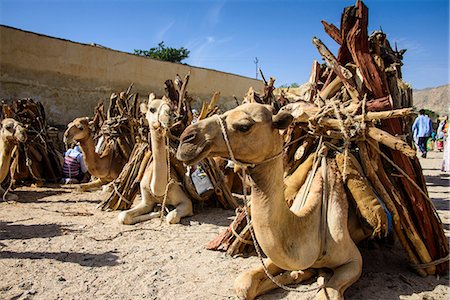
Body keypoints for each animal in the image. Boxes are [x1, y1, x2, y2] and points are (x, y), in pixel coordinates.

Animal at [117, 94, 192, 225]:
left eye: (171, 108)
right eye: (152, 109)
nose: (168, 117)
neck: (158, 190)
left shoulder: (185, 201)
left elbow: (171, 217)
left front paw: (162, 211)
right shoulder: (146, 201)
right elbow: (123, 216)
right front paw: (157, 211)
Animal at [176, 102, 366, 298]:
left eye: (244, 126)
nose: (186, 139)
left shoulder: (354, 260)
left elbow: (328, 293)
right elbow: (244, 284)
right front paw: (295, 274)